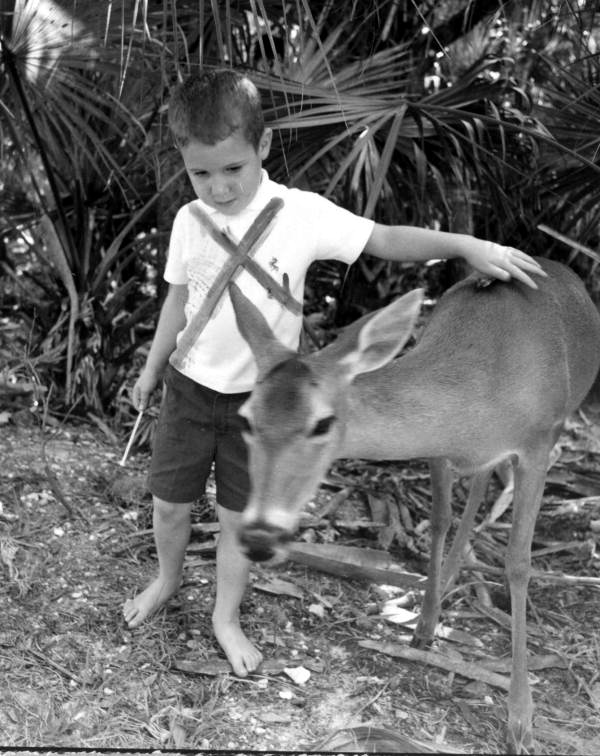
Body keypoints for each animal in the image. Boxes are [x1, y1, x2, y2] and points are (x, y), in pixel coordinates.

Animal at [228, 257, 600, 754]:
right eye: (247, 419)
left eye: (322, 423)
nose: (258, 536)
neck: (482, 391)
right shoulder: (439, 447)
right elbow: (439, 520)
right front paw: (424, 623)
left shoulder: (539, 444)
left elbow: (519, 563)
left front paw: (521, 717)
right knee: (474, 487)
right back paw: (447, 585)